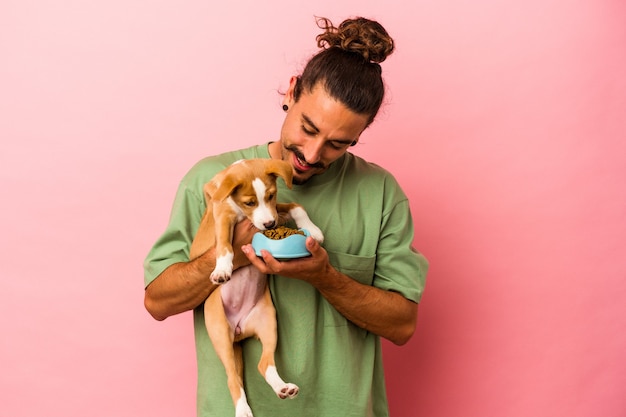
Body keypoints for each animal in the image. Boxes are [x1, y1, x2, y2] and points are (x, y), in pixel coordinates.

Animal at [188, 158, 324, 416]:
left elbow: (296, 205)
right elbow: (224, 246)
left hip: (268, 322)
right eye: (249, 202)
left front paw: (314, 230)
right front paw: (222, 269)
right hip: (220, 333)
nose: (269, 224)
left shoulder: (276, 208)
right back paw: (243, 410)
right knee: (233, 378)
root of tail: (239, 331)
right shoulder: (223, 217)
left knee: (264, 364)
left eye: (271, 195)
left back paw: (283, 388)